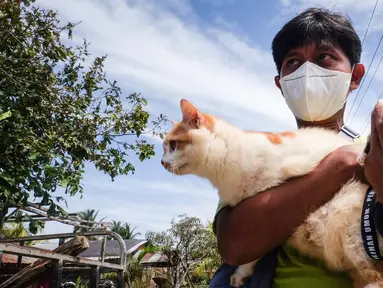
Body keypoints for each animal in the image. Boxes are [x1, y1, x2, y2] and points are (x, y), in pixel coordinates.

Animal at [161, 99, 383, 288]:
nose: (162, 162)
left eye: (173, 144)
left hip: (350, 228)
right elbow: (254, 252)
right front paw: (242, 274)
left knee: (376, 277)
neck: (221, 171)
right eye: (164, 148)